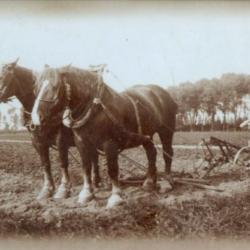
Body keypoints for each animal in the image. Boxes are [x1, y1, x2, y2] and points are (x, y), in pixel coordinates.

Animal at [0, 60, 101, 199]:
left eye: (3, 76)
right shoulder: (37, 141)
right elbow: (45, 164)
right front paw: (47, 189)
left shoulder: (61, 139)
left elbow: (63, 162)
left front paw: (63, 189)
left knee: (94, 156)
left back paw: (95, 182)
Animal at [31, 65, 178, 208]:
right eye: (35, 88)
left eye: (55, 86)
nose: (36, 118)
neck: (95, 109)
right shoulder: (81, 143)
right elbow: (86, 167)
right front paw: (86, 194)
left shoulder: (109, 144)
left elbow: (112, 169)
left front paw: (115, 197)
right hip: (147, 136)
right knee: (151, 153)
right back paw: (149, 182)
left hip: (166, 131)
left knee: (167, 153)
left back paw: (167, 182)